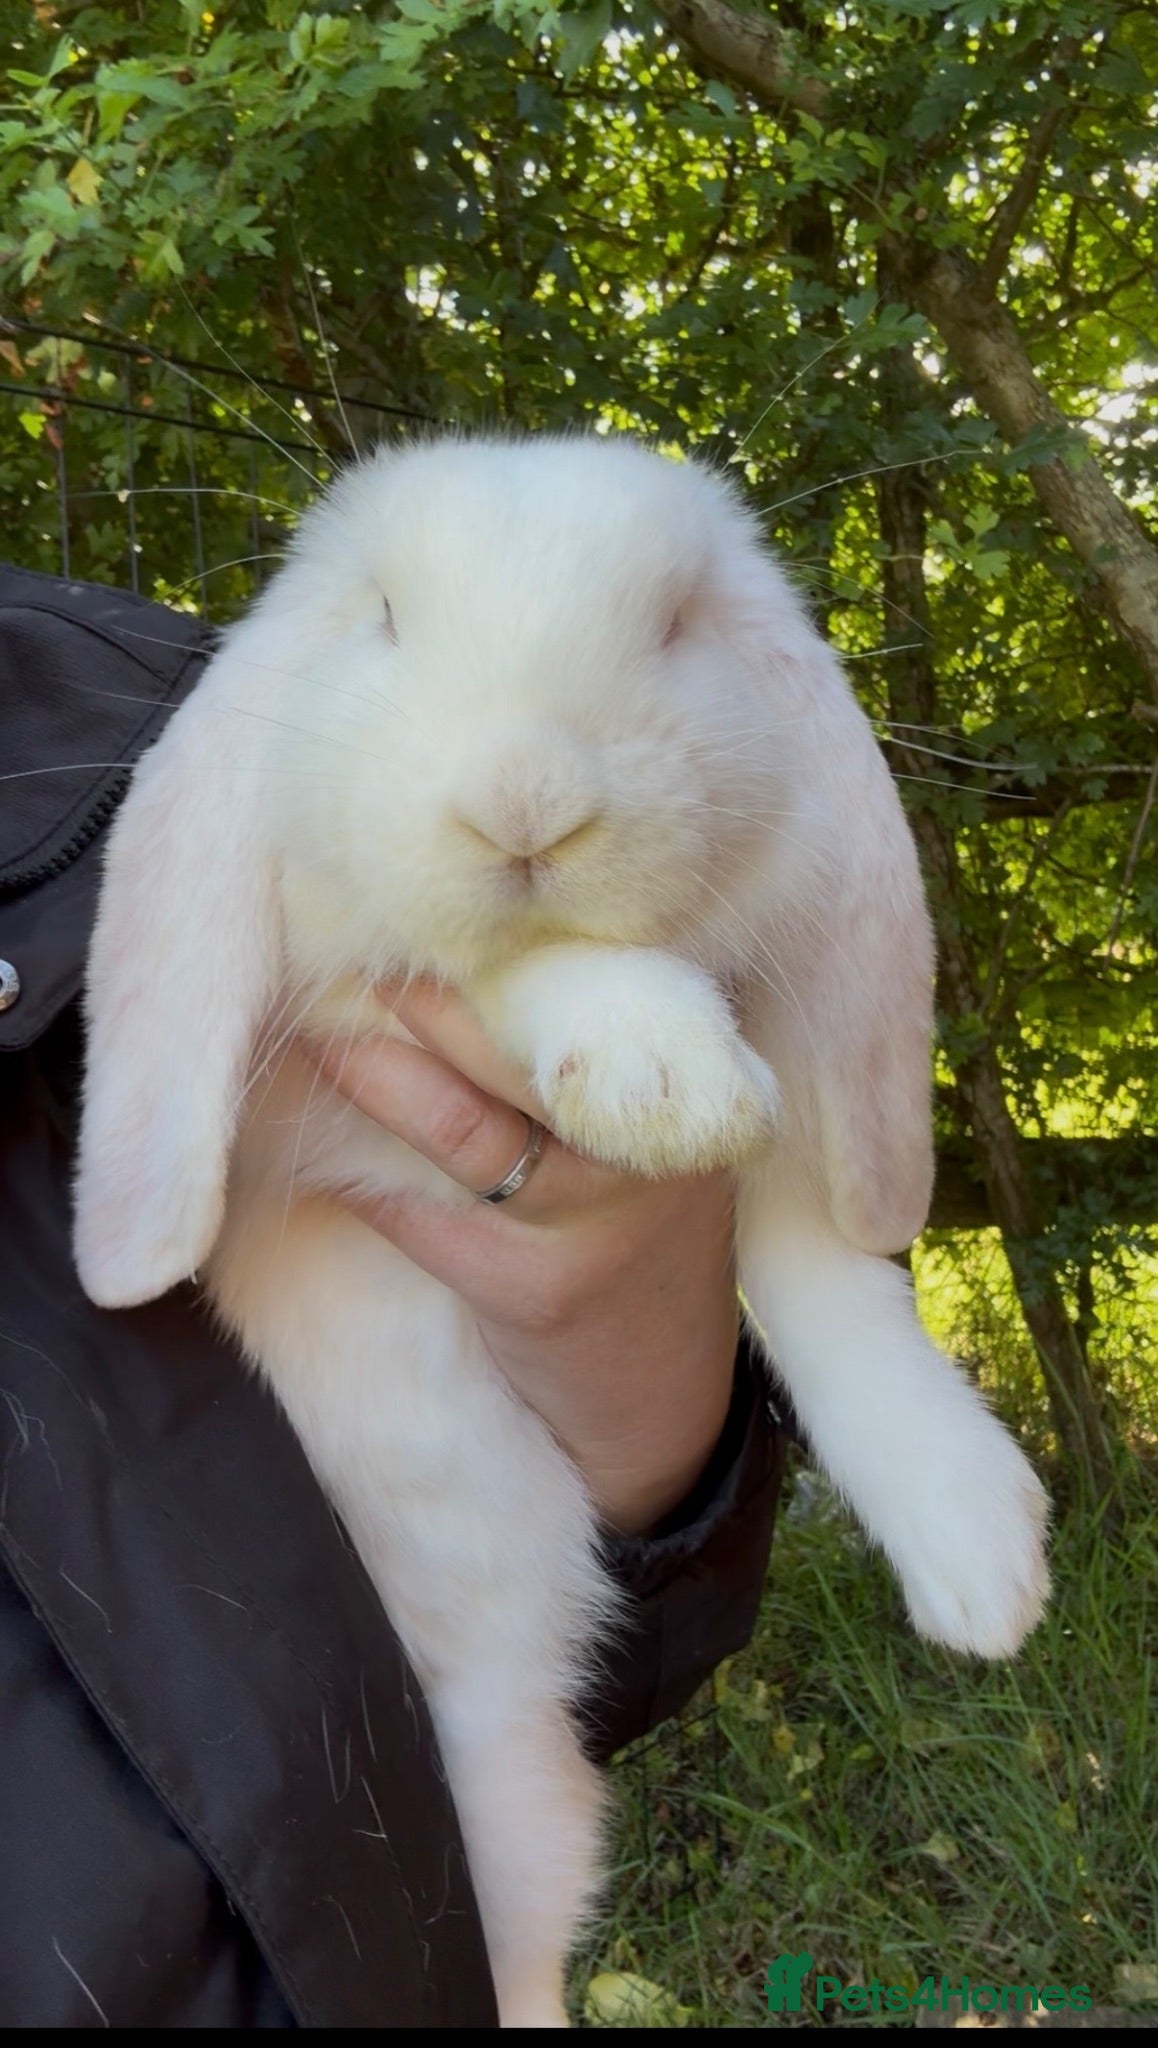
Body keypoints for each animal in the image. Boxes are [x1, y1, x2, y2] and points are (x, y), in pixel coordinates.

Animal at [74, 433, 1049, 2028]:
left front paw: (984, 1562)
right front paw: (664, 1072)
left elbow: (813, 1256)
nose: (522, 799)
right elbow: (511, 971)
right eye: (384, 615)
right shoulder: (342, 1027)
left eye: (675, 626)